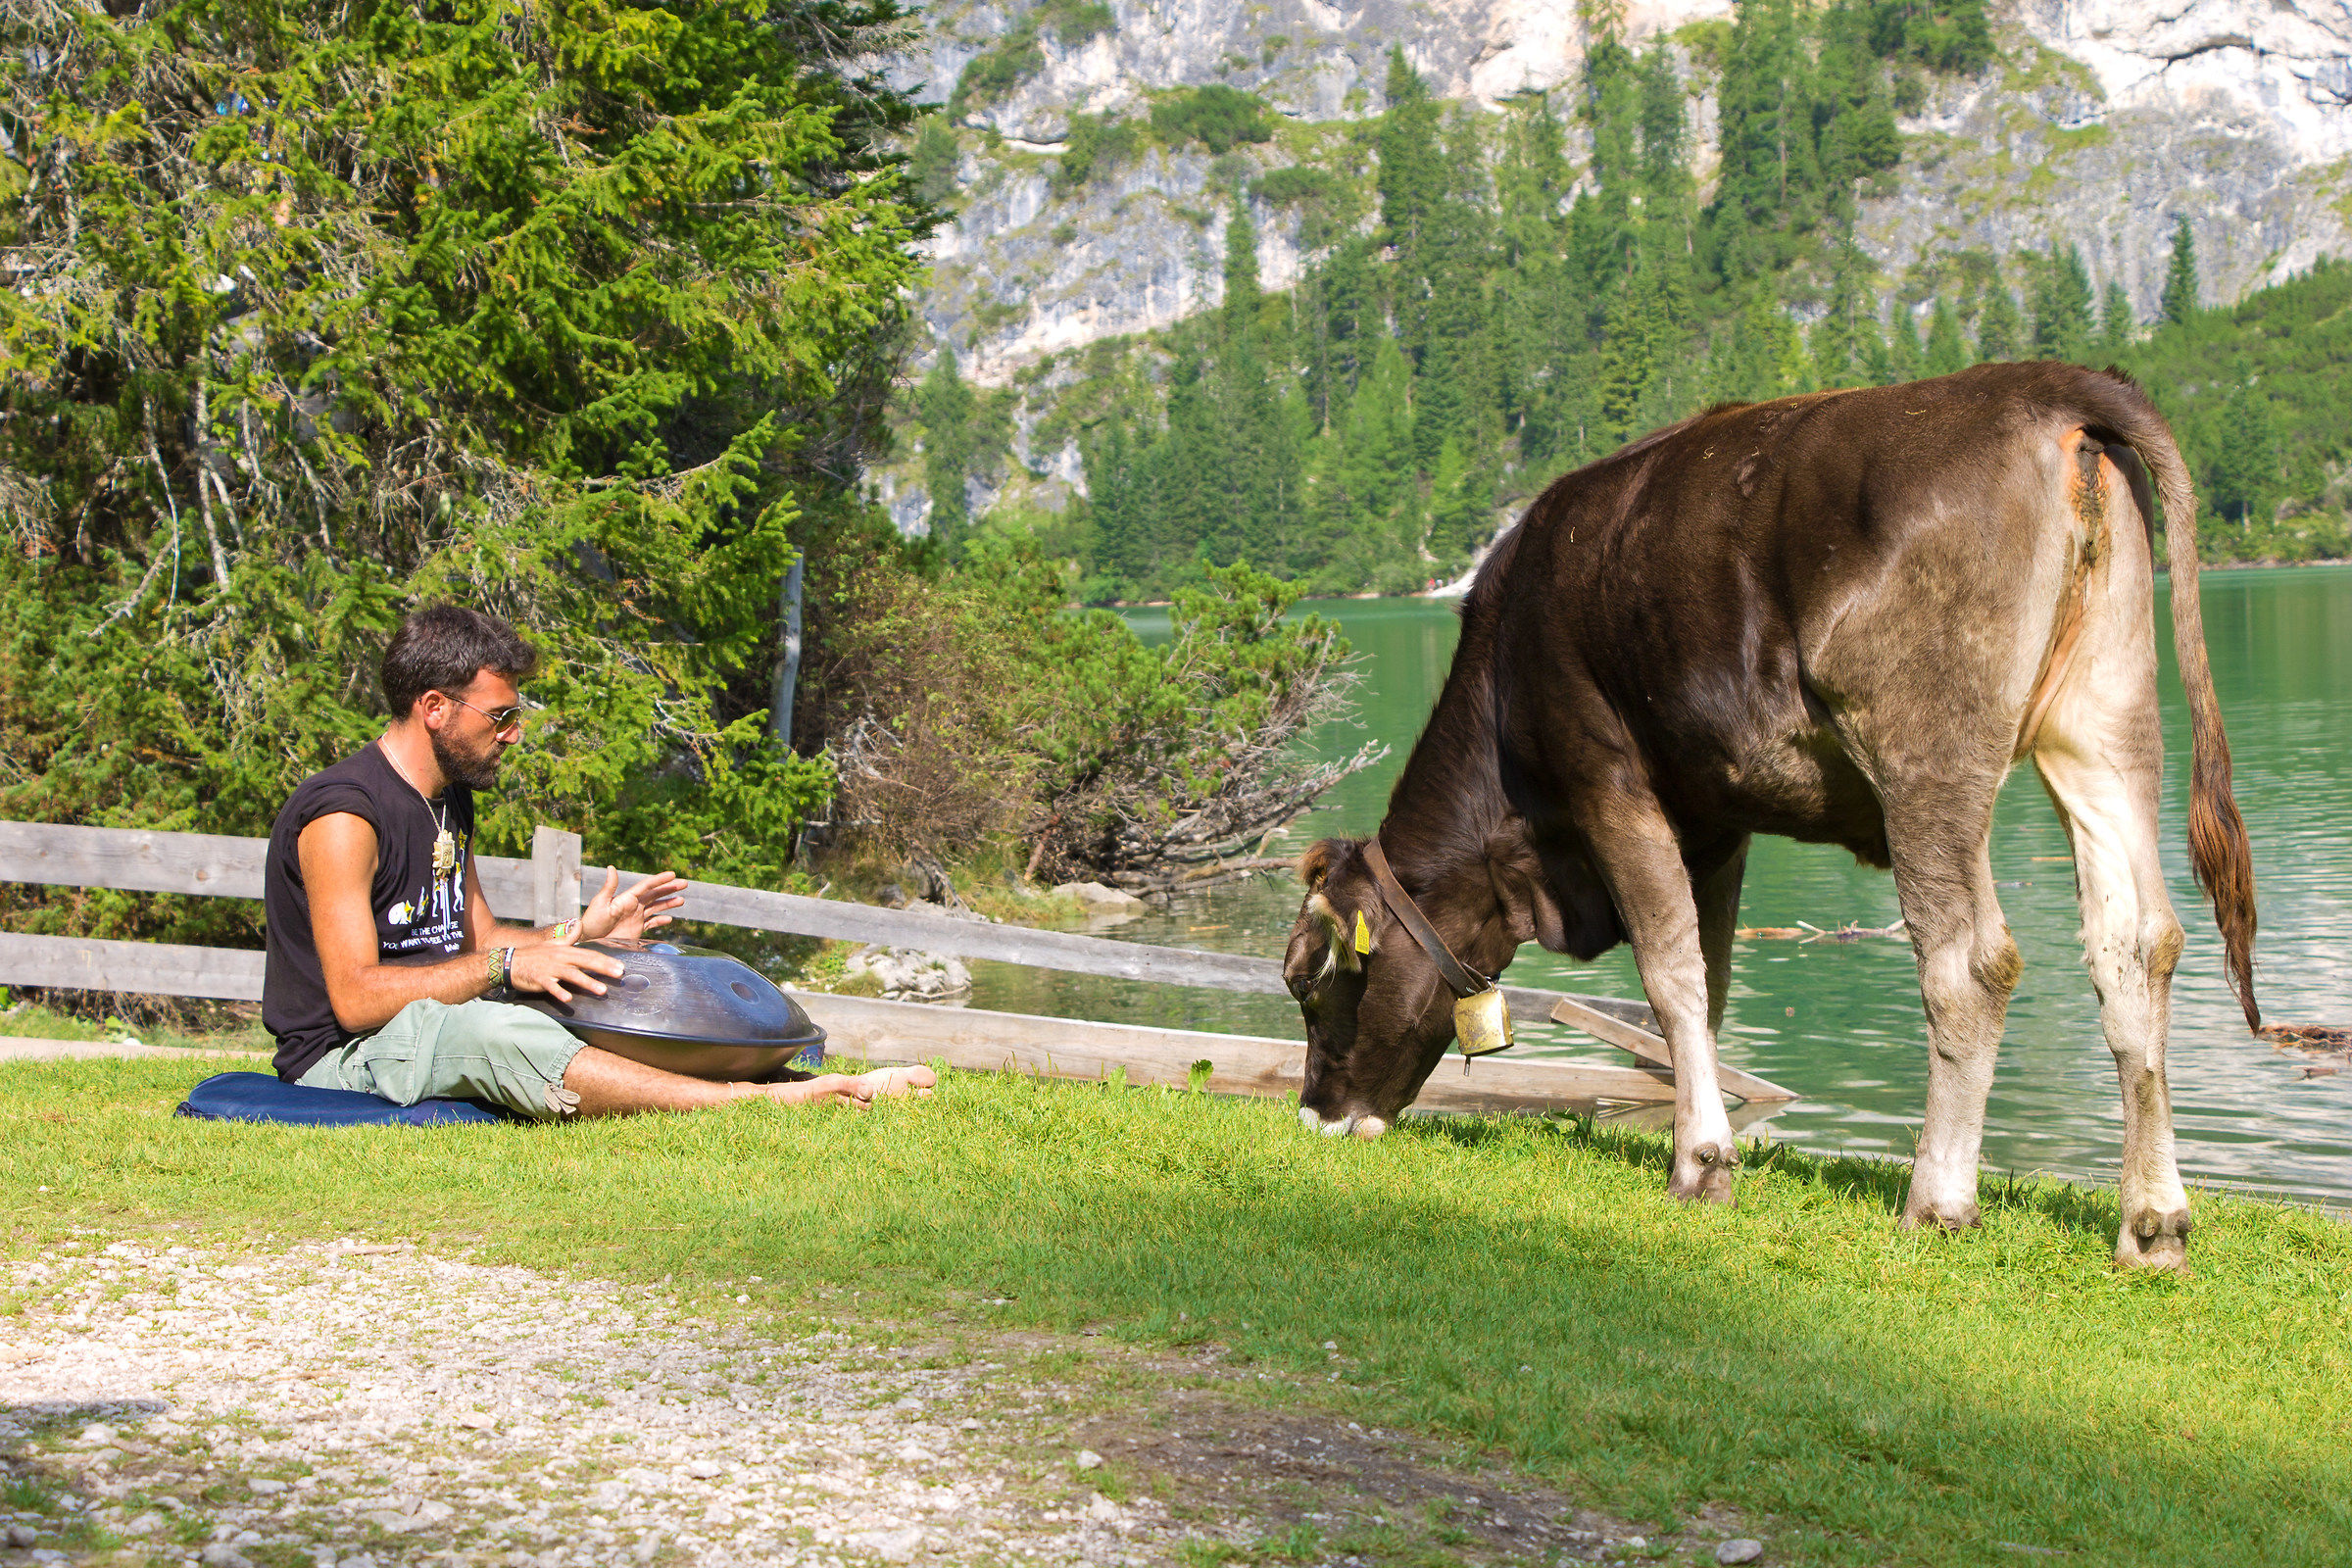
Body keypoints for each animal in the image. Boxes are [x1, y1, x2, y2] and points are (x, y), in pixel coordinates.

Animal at [1281, 362, 2258, 1271]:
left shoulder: (1607, 776)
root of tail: (2039, 382)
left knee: (1970, 963)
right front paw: (1699, 1136)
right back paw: (2152, 1222)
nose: (1314, 1112)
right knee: (2138, 943)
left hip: (1925, 753)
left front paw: (1699, 1165)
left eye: (1309, 980)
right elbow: (1708, 982)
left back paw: (1937, 1201)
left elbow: (1667, 971)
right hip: (2105, 725)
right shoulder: (1718, 817)